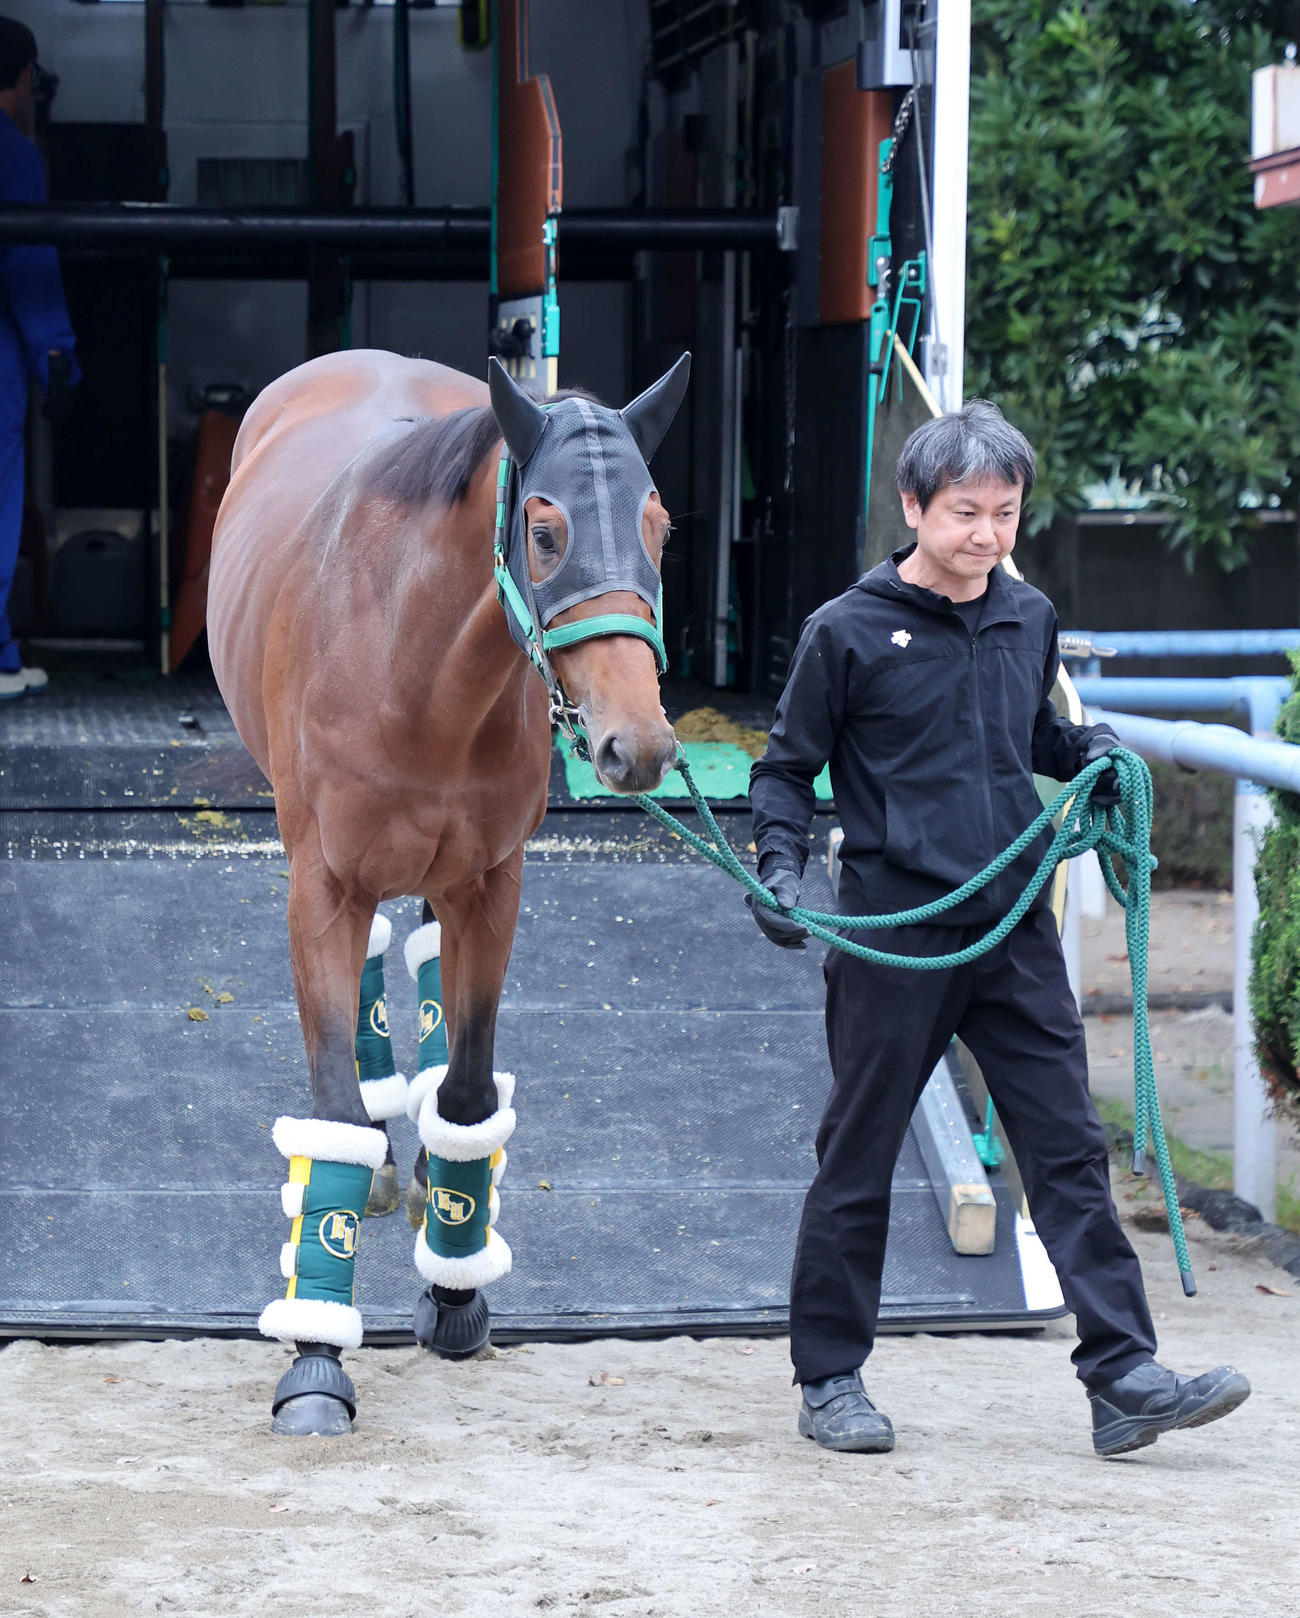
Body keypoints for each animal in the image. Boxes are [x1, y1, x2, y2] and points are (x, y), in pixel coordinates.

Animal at [207, 348, 689, 1435]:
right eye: (545, 531)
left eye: (660, 528)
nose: (636, 745)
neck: (408, 662)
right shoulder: (322, 886)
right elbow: (334, 1115)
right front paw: (315, 1359)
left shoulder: (490, 884)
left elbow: (469, 1093)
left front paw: (456, 1289)